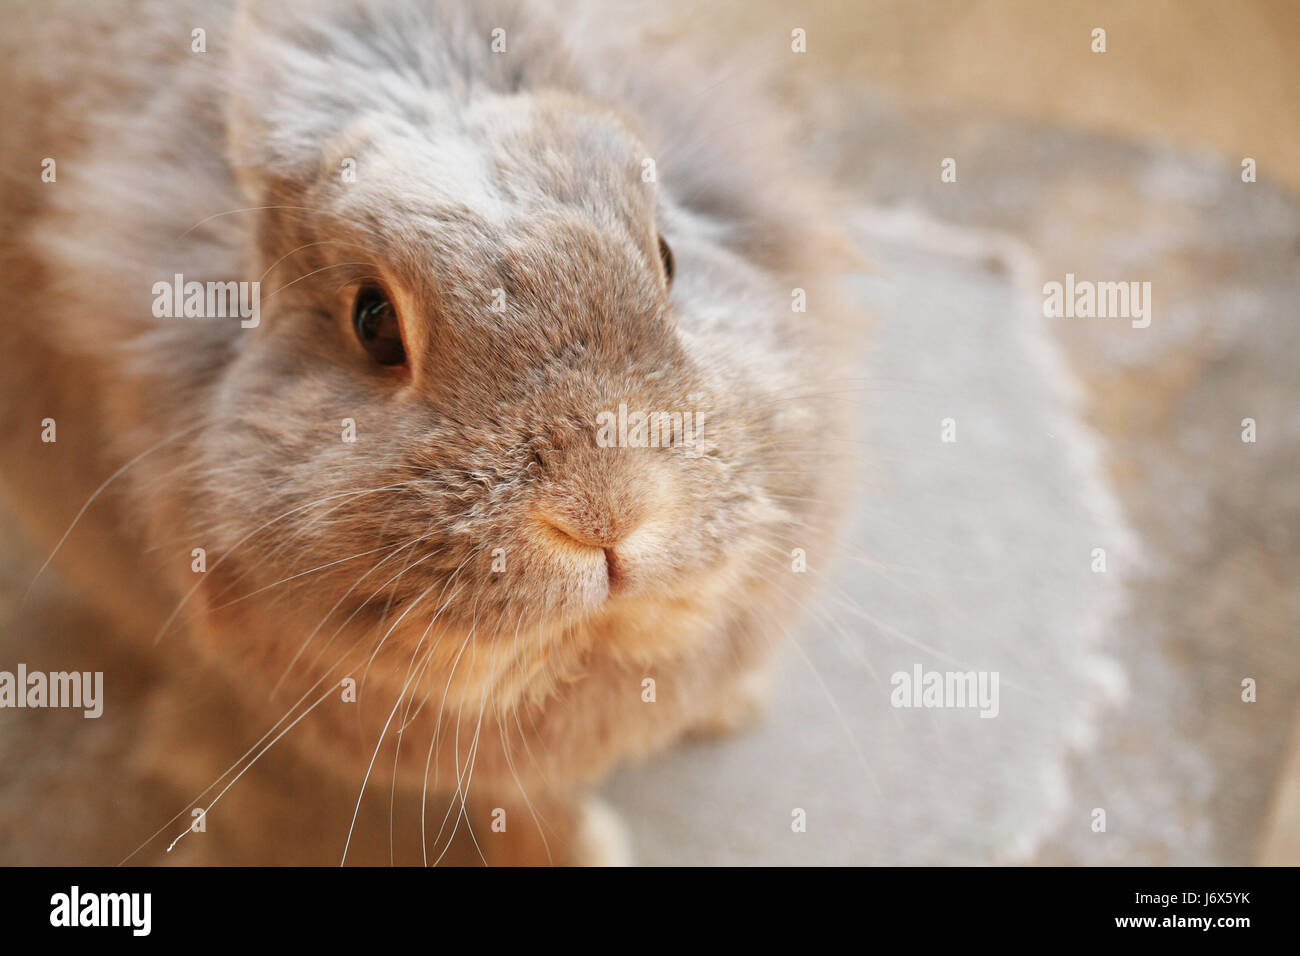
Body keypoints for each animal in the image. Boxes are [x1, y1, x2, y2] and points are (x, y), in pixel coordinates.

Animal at [0, 0, 855, 864]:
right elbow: (524, 796)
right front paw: (580, 852)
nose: (606, 514)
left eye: (670, 258)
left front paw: (732, 706)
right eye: (374, 322)